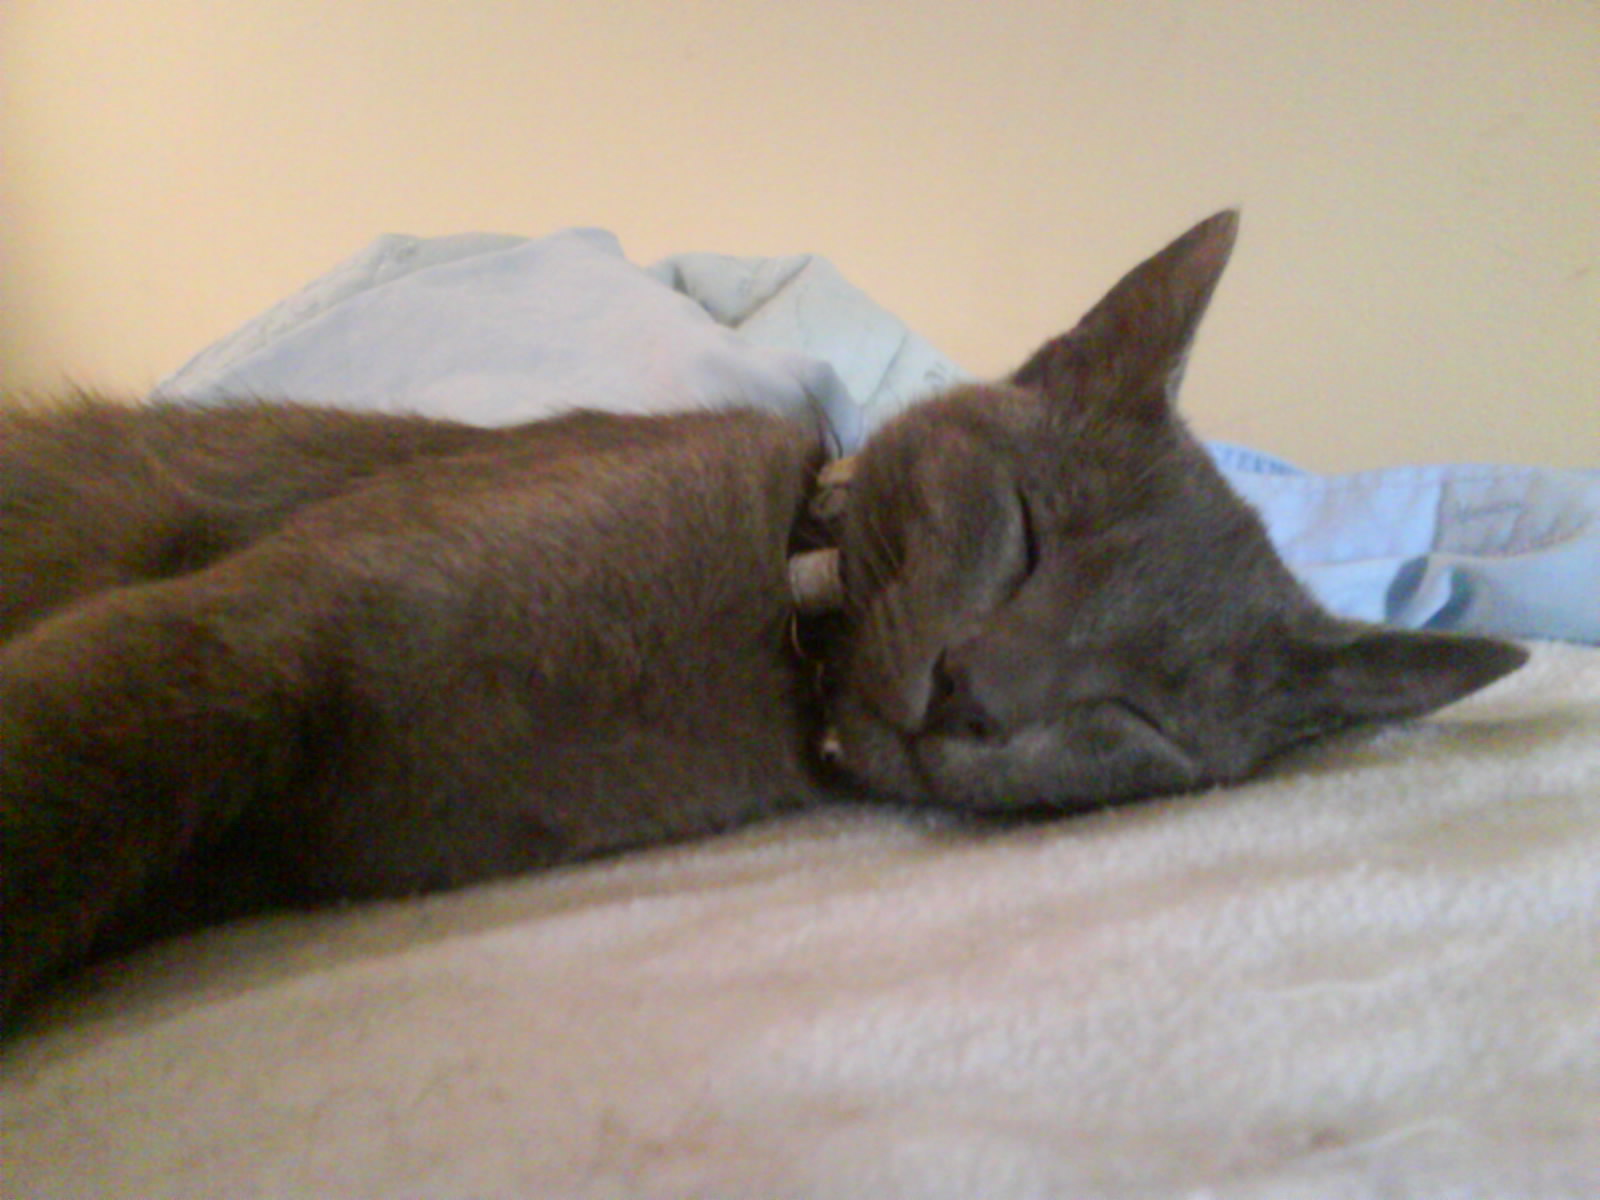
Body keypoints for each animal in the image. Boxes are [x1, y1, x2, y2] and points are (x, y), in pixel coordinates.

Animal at [0, 216, 1523, 1024]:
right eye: (1025, 529)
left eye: (1135, 713)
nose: (973, 690)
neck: (748, 662)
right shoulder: (254, 622)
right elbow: (75, 752)